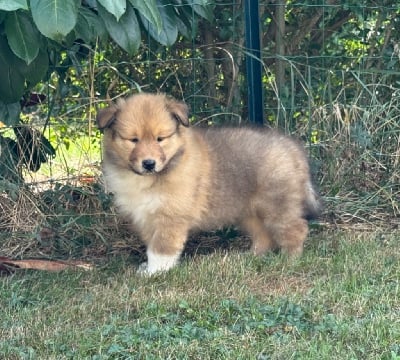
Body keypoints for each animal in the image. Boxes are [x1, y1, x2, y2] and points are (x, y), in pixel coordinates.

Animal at [97, 93, 322, 276]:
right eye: (133, 140)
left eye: (160, 138)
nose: (149, 163)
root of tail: (292, 148)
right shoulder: (146, 217)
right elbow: (151, 245)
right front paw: (148, 268)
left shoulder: (170, 217)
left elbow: (161, 248)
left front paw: (155, 272)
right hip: (249, 211)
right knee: (263, 235)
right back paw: (251, 257)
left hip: (277, 205)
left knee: (296, 229)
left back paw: (289, 260)